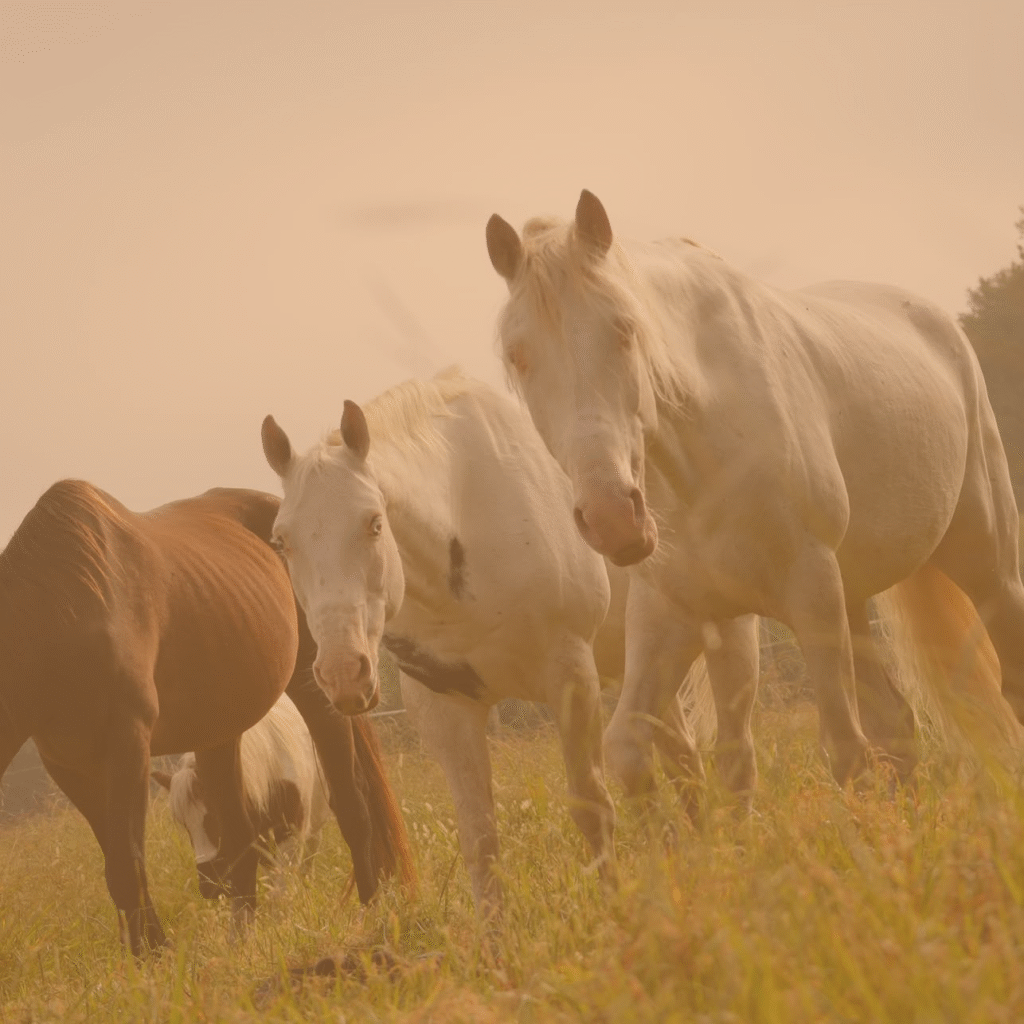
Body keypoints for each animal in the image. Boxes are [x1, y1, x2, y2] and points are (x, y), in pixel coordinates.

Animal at [262, 369, 715, 919]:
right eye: (282, 541)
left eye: (373, 522)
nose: (344, 673)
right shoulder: (445, 707)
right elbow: (480, 839)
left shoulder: (570, 676)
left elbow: (592, 807)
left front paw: (616, 913)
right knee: (678, 759)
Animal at [485, 189, 1024, 797]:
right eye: (518, 355)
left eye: (624, 329)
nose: (611, 518)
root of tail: (940, 323)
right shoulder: (674, 614)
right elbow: (630, 749)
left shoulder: (809, 589)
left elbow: (844, 750)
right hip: (852, 599)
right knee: (896, 726)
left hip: (987, 573)